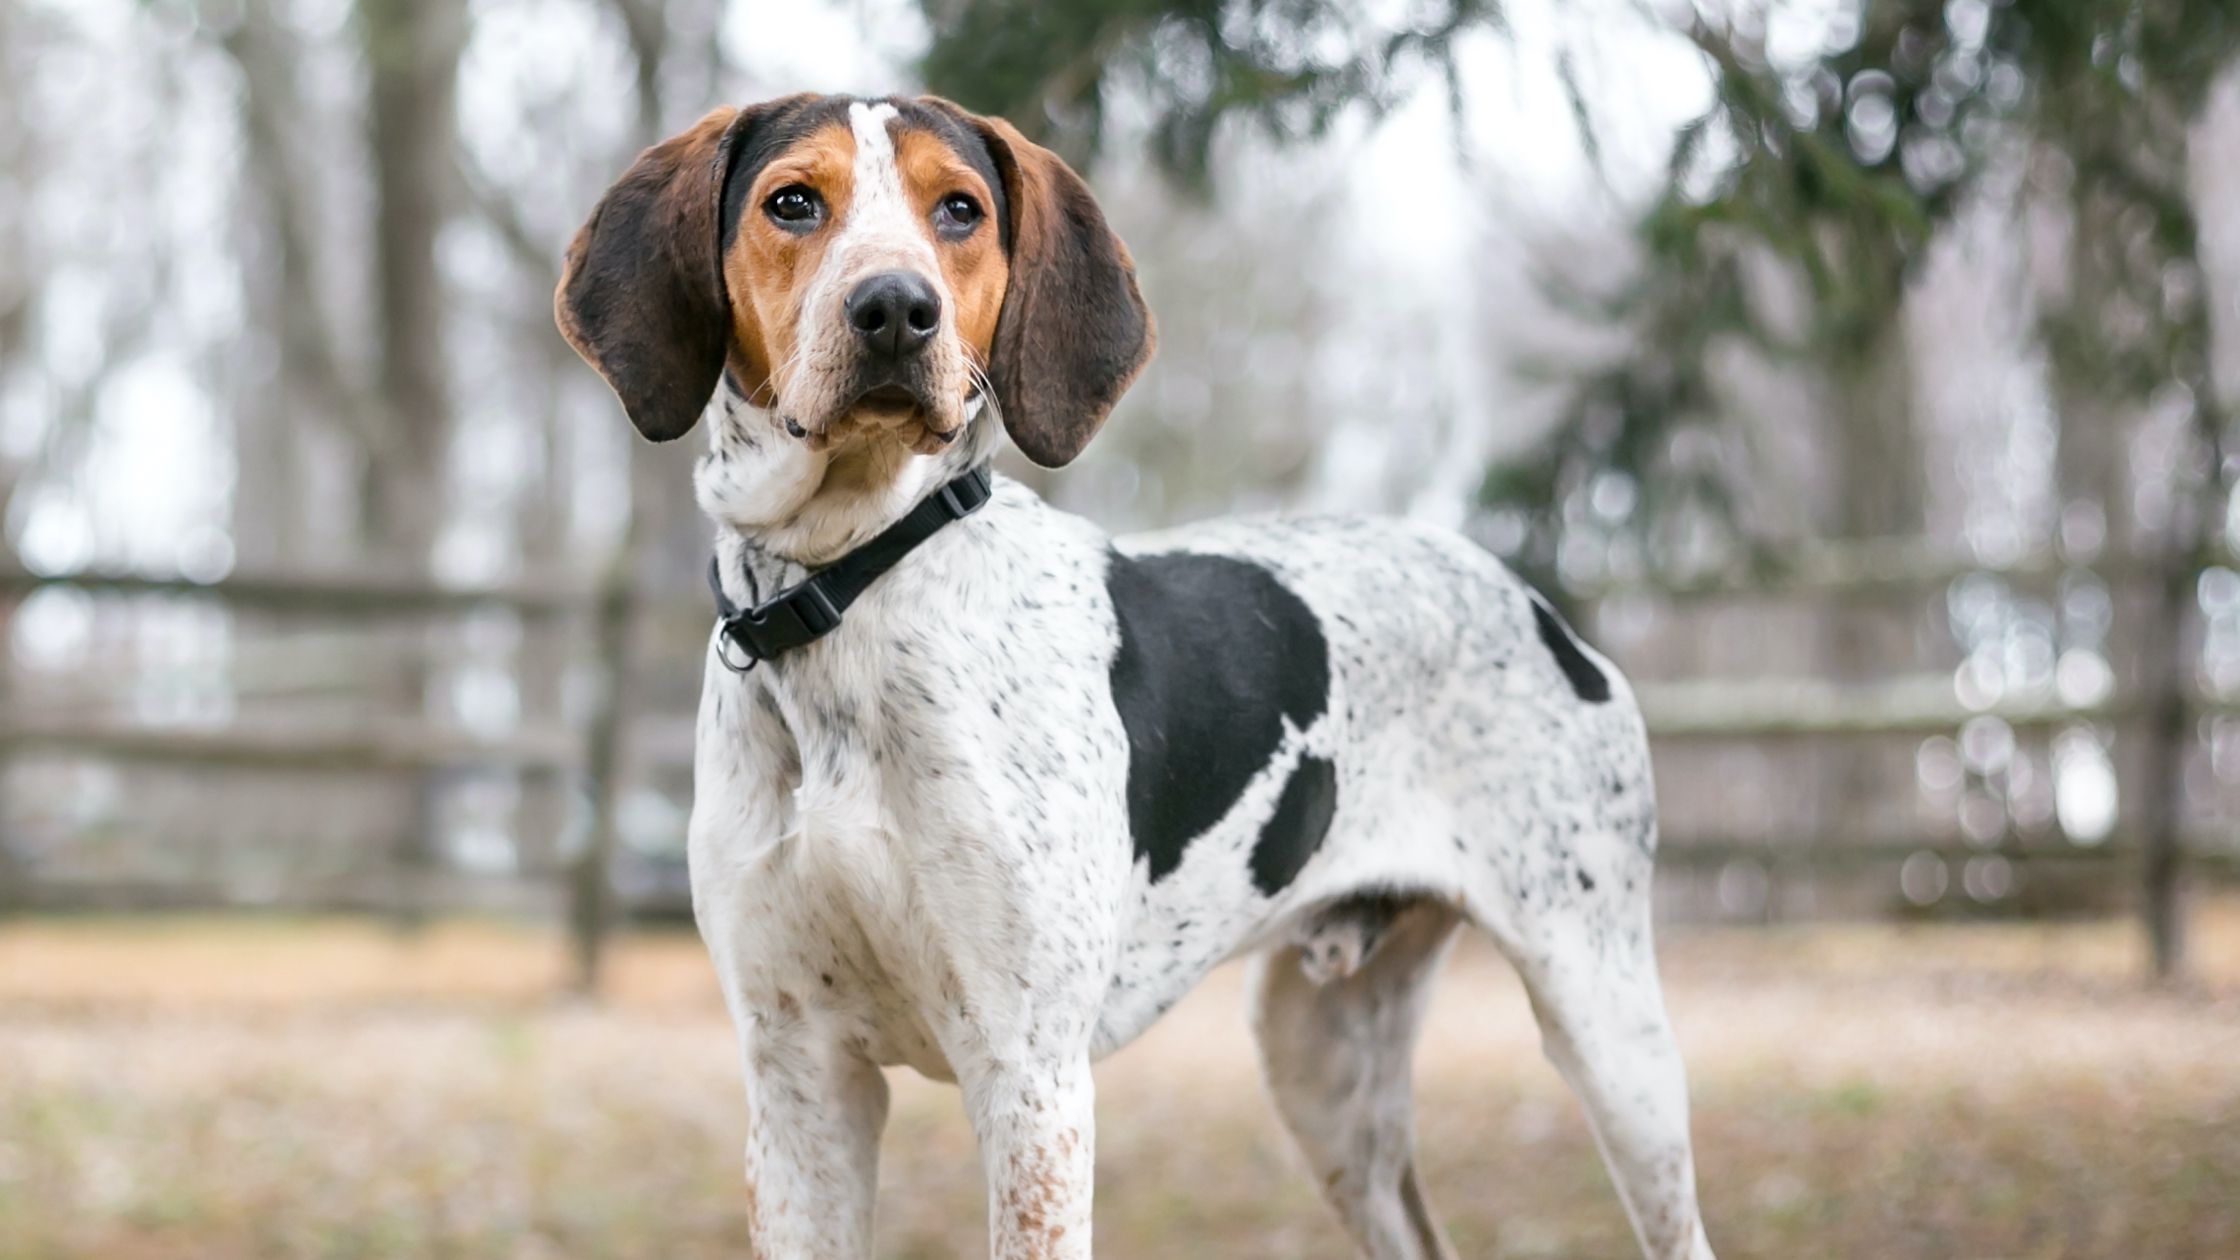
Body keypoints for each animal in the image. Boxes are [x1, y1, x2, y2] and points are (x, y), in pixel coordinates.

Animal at [555, 90, 1711, 1255]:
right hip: (1322, 1065)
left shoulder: (1031, 1083)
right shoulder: (800, 1081)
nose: (894, 310)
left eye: (959, 210)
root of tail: (1538, 608)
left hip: (1606, 1028)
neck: (851, 585)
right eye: (792, 203)